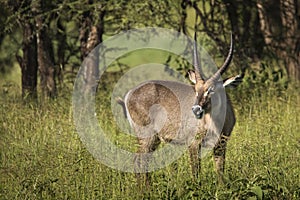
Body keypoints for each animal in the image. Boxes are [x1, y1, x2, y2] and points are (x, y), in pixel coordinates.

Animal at [117, 32, 241, 184]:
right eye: (195, 89)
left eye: (211, 90)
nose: (196, 109)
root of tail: (129, 93)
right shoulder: (193, 144)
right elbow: (196, 173)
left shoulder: (221, 144)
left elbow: (220, 172)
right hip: (146, 137)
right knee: (138, 160)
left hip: (154, 139)